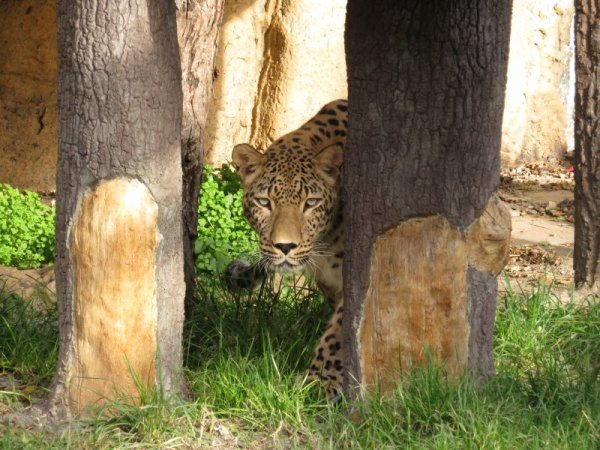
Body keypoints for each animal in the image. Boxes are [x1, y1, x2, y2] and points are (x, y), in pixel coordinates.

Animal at [229, 99, 350, 400]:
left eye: (311, 203)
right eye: (264, 202)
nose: (285, 246)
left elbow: (339, 332)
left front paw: (320, 383)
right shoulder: (329, 281)